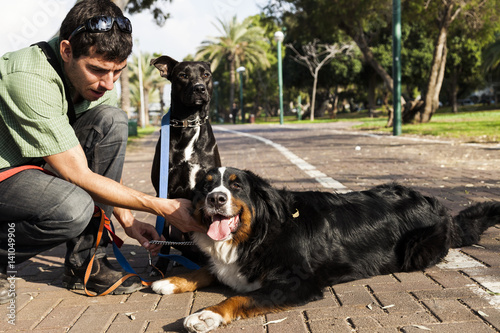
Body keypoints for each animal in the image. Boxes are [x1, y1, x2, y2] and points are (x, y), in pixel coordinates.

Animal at [150, 55, 221, 272]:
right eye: (183, 75)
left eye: (206, 74)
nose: (199, 88)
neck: (189, 123)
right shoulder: (163, 192)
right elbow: (163, 237)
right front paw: (161, 265)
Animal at [151, 166, 500, 332]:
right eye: (206, 186)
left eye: (236, 185)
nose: (216, 198)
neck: (258, 234)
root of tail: (438, 206)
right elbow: (206, 269)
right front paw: (171, 281)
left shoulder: (296, 282)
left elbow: (237, 297)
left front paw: (206, 315)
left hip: (417, 250)